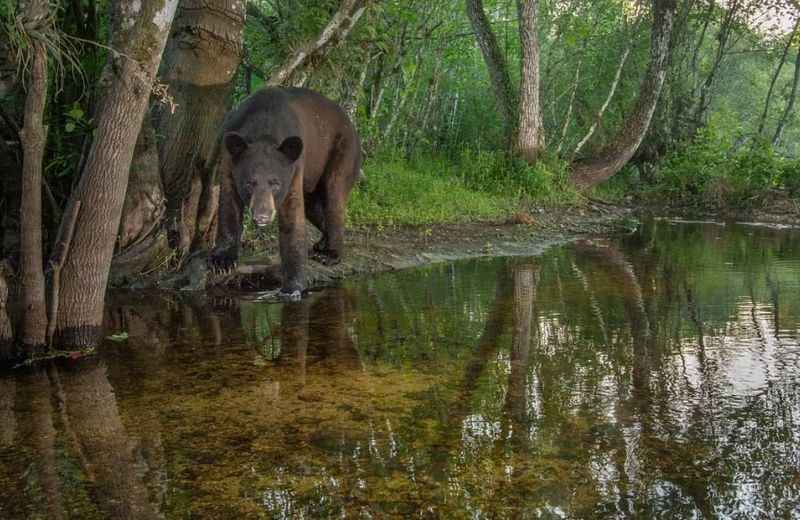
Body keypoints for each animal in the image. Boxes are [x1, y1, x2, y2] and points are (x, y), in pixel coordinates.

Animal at [212, 88, 362, 298]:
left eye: (275, 183)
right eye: (249, 183)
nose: (262, 216)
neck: (264, 122)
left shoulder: (294, 168)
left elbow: (293, 218)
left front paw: (293, 287)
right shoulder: (229, 158)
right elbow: (228, 203)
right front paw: (223, 260)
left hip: (343, 152)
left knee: (334, 196)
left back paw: (331, 254)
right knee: (314, 207)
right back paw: (320, 245)